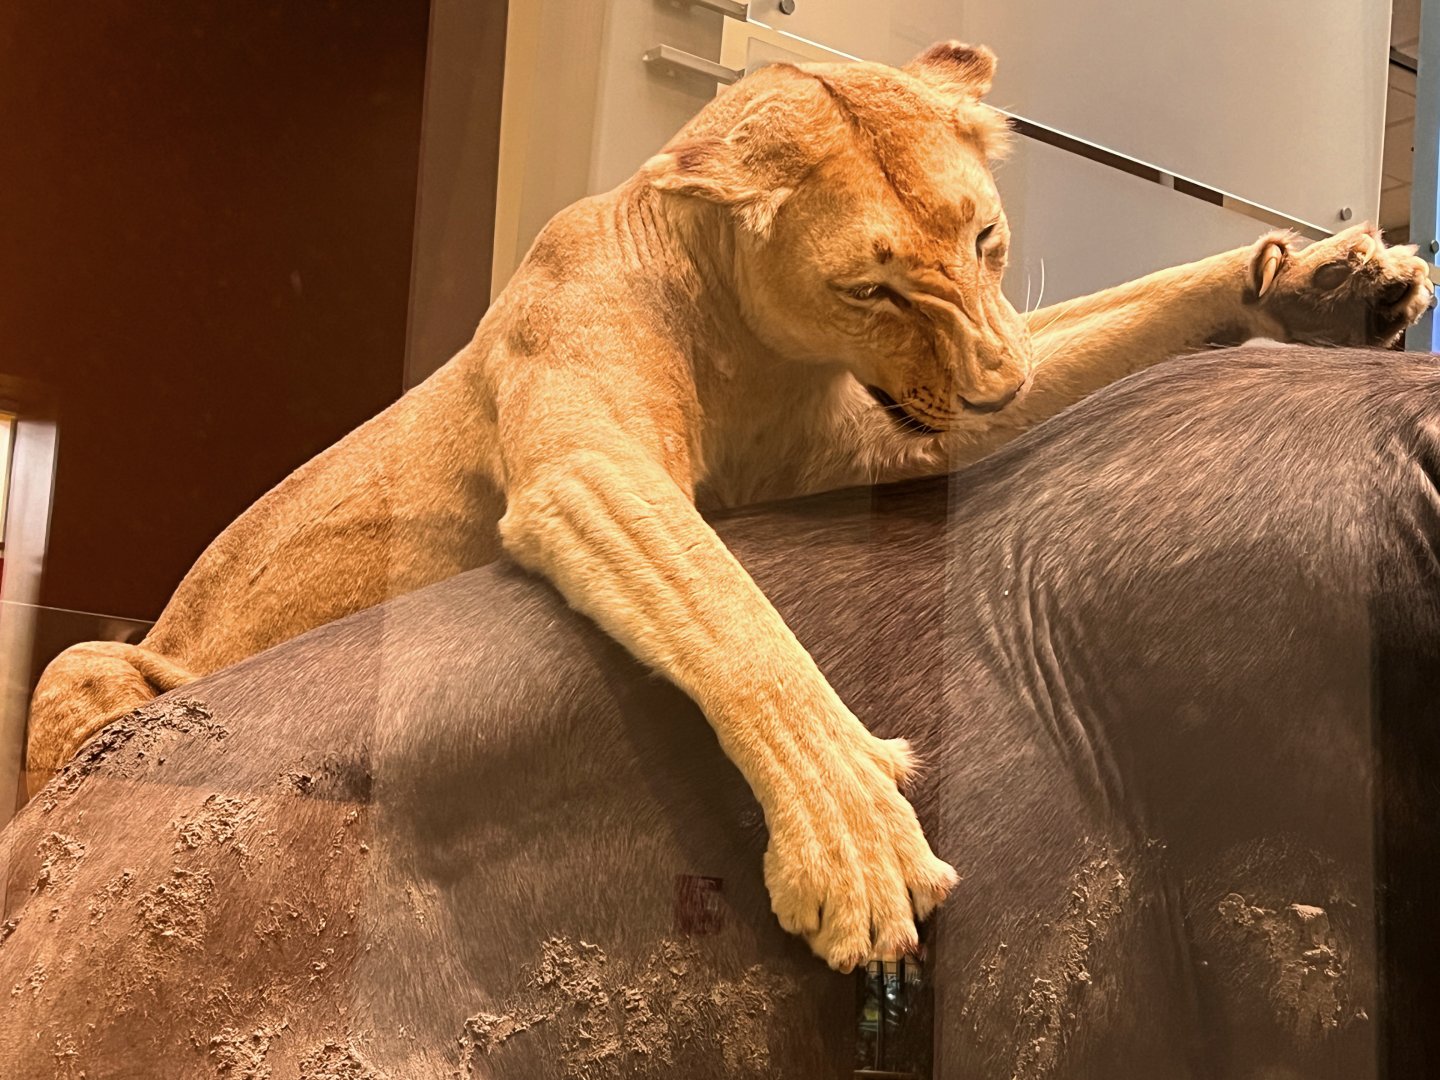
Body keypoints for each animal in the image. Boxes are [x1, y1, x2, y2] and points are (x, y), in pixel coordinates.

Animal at [26, 43, 1433, 971]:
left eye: (984, 241)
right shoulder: (595, 469)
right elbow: (738, 620)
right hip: (99, 668)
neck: (759, 348)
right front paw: (856, 843)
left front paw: (1328, 282)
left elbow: (1116, 316)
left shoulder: (886, 440)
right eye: (875, 287)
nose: (996, 387)